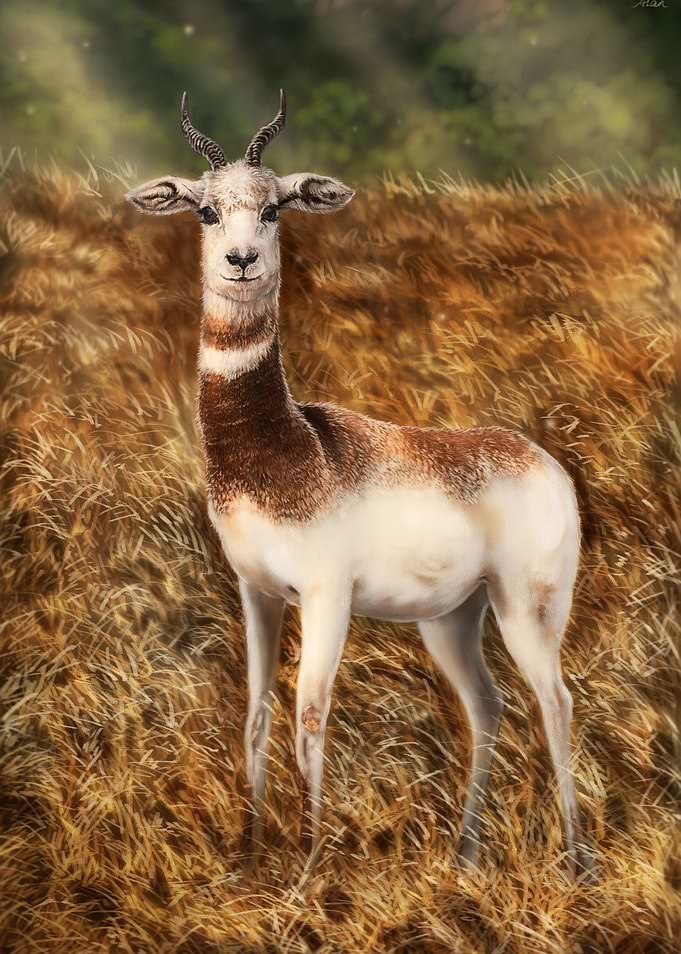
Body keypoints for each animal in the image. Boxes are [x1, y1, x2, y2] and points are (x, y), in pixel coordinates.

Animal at [126, 91, 594, 879]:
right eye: (206, 211)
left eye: (275, 206)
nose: (242, 260)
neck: (287, 448)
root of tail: (548, 464)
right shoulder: (255, 589)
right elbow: (254, 716)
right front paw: (247, 859)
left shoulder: (325, 595)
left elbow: (310, 715)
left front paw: (306, 870)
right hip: (452, 618)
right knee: (488, 705)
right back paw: (464, 854)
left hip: (527, 605)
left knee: (556, 700)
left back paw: (576, 861)